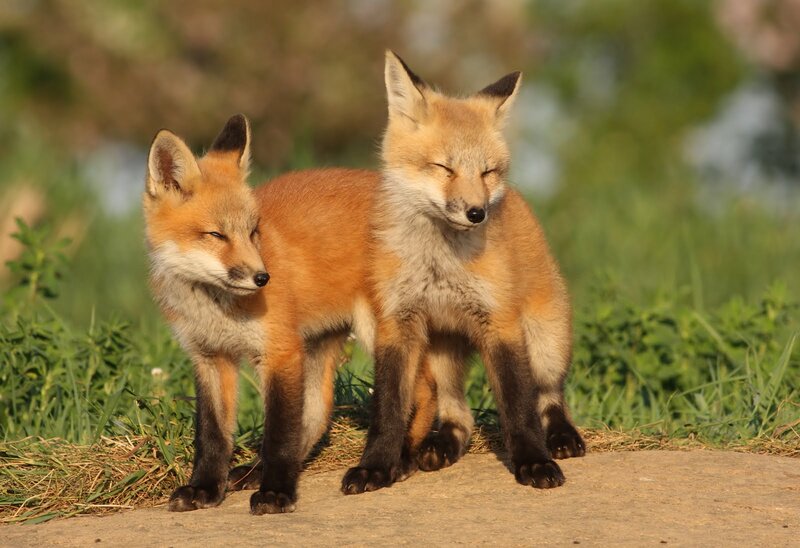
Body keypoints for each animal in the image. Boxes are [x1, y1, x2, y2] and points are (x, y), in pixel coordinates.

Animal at [340, 52, 585, 495]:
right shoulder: (396, 325)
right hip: (441, 355)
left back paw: (561, 436)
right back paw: (437, 446)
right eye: (444, 168)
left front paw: (533, 462)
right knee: (460, 415)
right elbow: (387, 409)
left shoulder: (501, 325)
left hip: (546, 342)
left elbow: (518, 406)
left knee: (548, 396)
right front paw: (377, 466)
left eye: (487, 172)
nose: (477, 212)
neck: (440, 263)